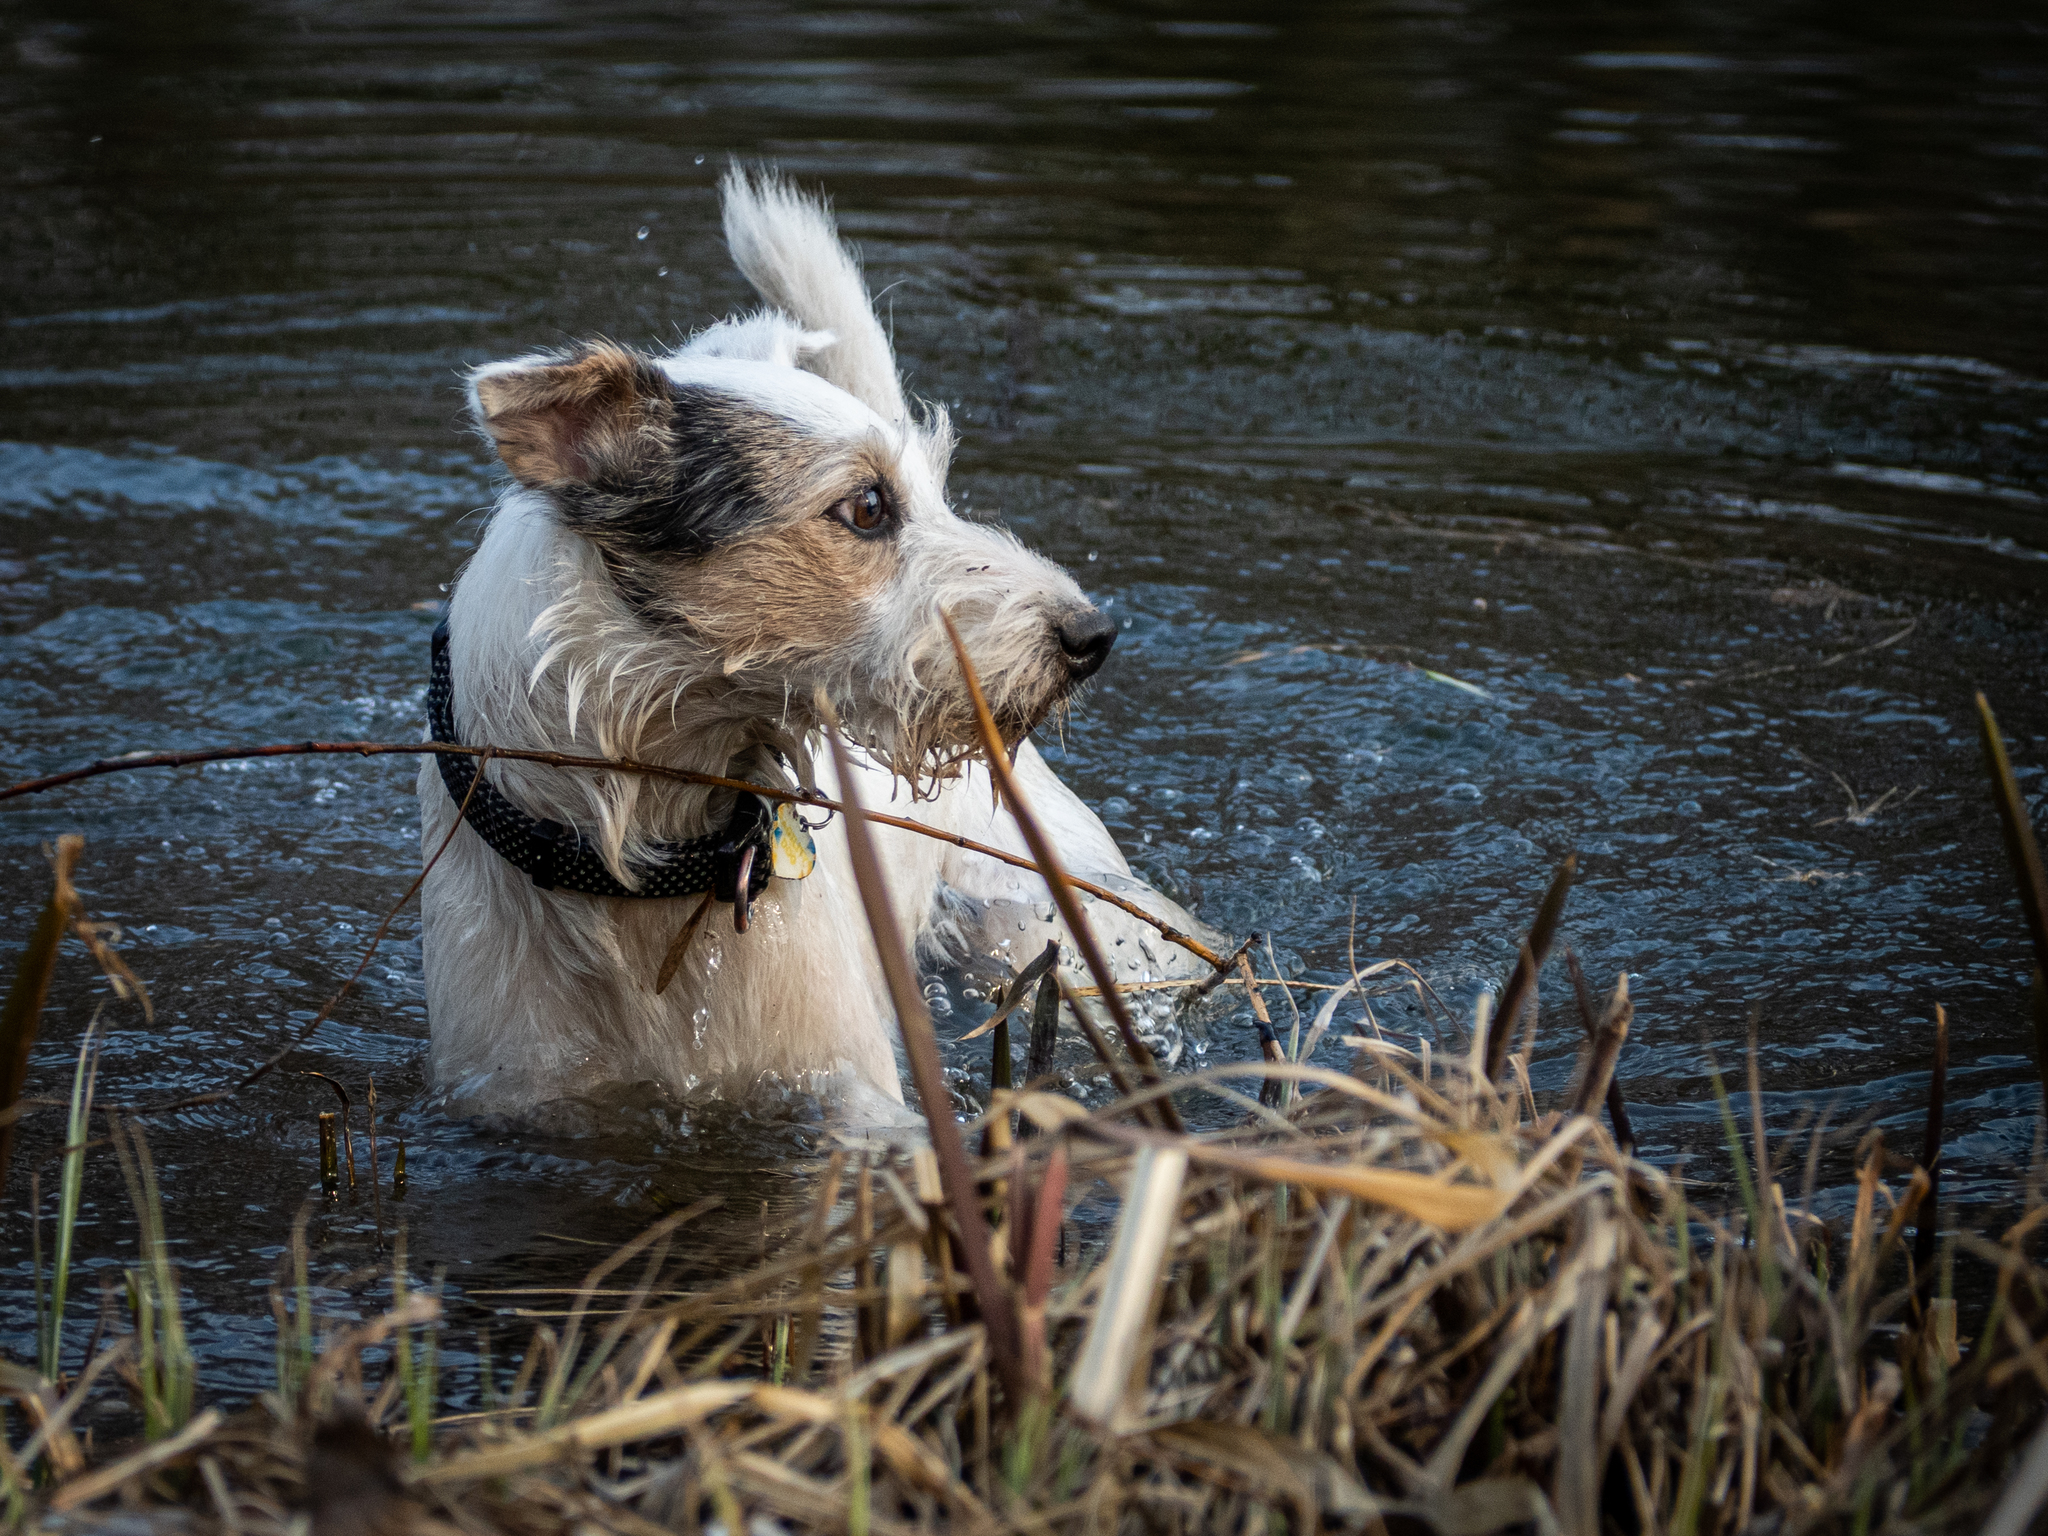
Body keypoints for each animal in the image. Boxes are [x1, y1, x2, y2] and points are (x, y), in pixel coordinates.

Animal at [417, 171, 1212, 1122]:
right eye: (867, 506)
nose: (1091, 634)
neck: (648, 869)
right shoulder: (513, 1100)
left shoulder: (851, 1091)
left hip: (1051, 910)